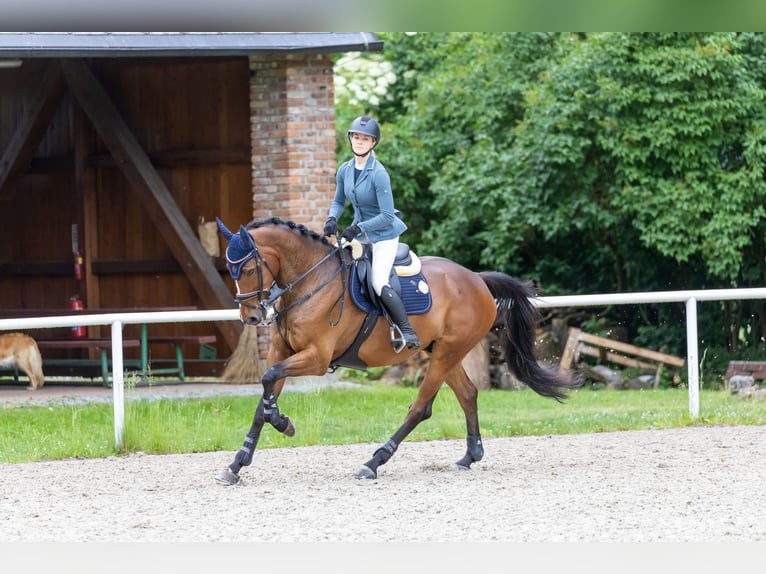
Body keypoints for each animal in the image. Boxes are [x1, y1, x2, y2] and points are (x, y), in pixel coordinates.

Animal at [214, 216, 579, 484]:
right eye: (230, 270)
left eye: (248, 269)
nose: (251, 317)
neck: (309, 283)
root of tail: (476, 279)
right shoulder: (281, 352)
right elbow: (263, 396)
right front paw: (238, 462)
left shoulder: (316, 358)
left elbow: (268, 379)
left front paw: (283, 423)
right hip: (442, 352)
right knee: (468, 394)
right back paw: (469, 456)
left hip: (446, 353)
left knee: (421, 408)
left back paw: (374, 461)